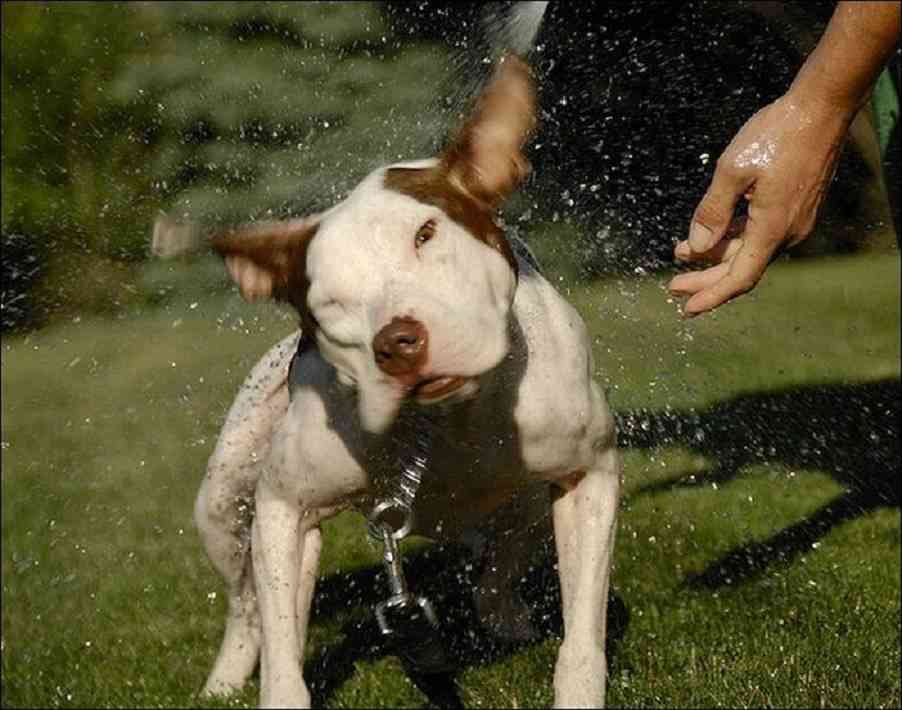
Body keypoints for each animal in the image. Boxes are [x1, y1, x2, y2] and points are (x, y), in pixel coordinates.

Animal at [194, 57, 620, 710]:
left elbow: (582, 630)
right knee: (249, 609)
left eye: (425, 233)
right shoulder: (284, 506)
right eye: (328, 303)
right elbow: (283, 652)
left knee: (501, 562)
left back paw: (506, 616)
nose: (397, 342)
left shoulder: (589, 474)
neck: (444, 421)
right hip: (221, 506)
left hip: (522, 499)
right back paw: (225, 677)